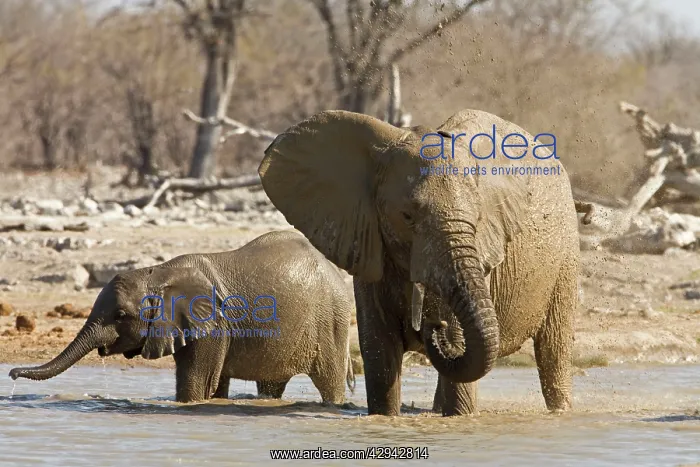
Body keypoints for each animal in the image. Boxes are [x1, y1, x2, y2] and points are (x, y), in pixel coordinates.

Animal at [10, 230, 356, 404]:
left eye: (121, 315)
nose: (12, 374)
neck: (158, 272)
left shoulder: (214, 325)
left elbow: (198, 384)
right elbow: (214, 385)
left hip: (332, 322)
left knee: (330, 381)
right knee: (271, 385)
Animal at [257, 109, 580, 416]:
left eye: (478, 219)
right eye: (407, 216)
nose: (434, 325)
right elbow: (380, 352)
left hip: (566, 252)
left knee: (554, 349)